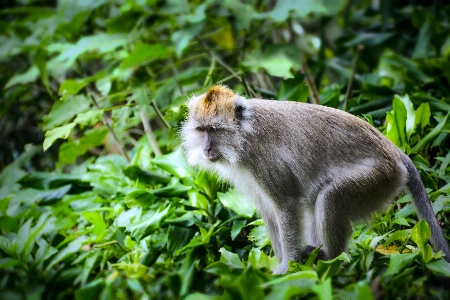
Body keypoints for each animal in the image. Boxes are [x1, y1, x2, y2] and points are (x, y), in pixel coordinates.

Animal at [179, 84, 450, 274]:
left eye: (214, 129)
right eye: (201, 129)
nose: (206, 149)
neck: (245, 136)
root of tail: (395, 151)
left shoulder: (265, 162)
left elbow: (286, 206)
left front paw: (286, 267)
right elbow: (269, 211)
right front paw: (280, 264)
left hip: (380, 178)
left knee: (330, 197)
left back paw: (331, 257)